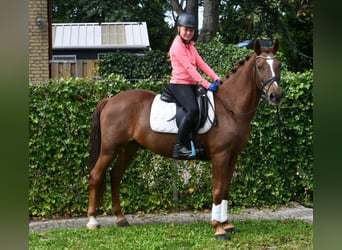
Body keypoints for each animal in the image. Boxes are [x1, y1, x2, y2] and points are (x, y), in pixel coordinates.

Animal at [86, 39, 284, 240]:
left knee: (115, 175)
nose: (276, 96)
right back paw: (93, 221)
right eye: (260, 66)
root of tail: (110, 100)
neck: (230, 107)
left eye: (279, 66)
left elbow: (226, 189)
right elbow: (218, 190)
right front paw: (218, 228)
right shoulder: (220, 156)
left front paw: (227, 224)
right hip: (109, 149)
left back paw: (120, 218)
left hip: (129, 148)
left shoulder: (233, 156)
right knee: (95, 175)